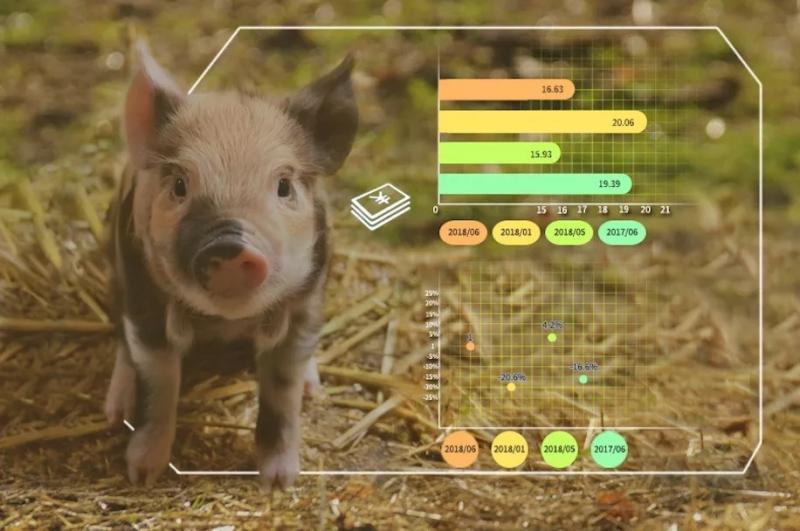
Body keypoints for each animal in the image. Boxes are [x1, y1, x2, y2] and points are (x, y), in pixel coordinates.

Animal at [103, 42, 358, 488]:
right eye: (180, 185)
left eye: (284, 186)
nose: (229, 244)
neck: (225, 323)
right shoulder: (143, 296)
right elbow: (159, 381)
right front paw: (142, 474)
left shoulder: (306, 301)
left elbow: (282, 388)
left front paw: (279, 483)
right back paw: (114, 413)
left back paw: (314, 389)